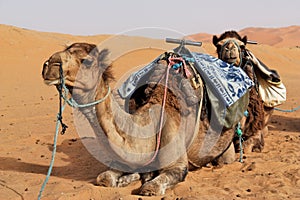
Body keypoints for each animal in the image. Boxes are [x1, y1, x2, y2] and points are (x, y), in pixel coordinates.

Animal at [42, 42, 248, 195]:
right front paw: (127, 178)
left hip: (226, 149)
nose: (49, 64)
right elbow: (105, 178)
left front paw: (140, 180)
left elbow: (150, 187)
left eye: (86, 60)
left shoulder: (177, 163)